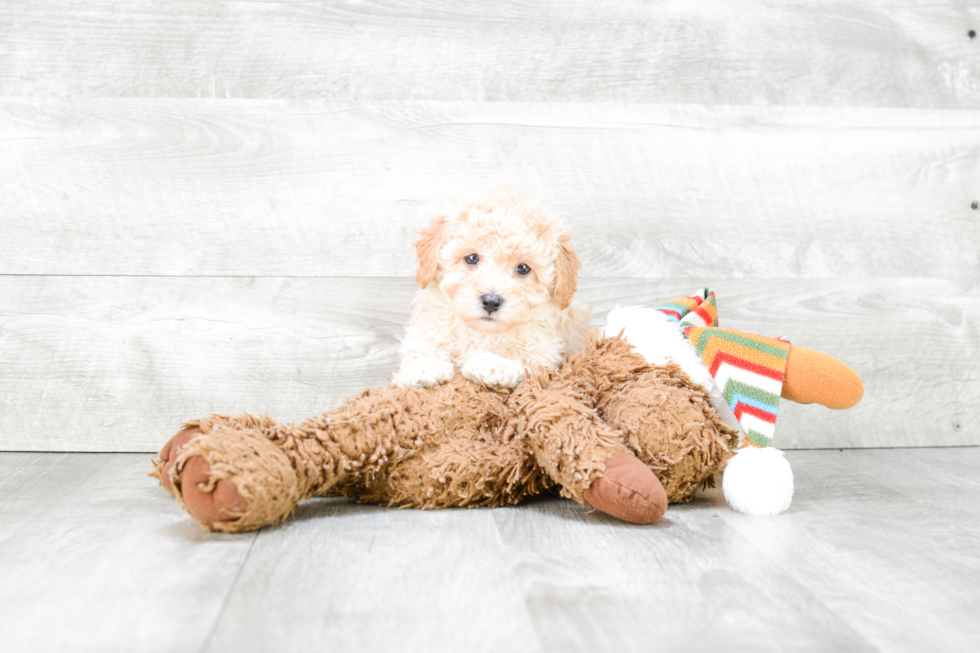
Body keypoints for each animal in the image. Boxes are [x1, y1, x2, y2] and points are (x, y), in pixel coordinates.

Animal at [390, 185, 588, 388]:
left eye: (523, 268)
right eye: (471, 258)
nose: (491, 301)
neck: (482, 332)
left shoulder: (544, 354)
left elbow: (525, 360)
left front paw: (493, 364)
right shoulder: (428, 330)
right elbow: (423, 347)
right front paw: (424, 367)